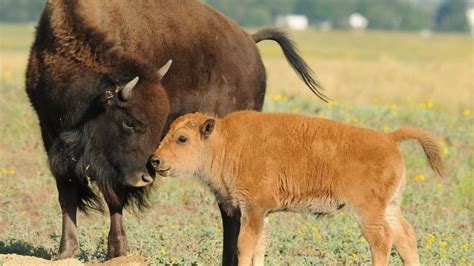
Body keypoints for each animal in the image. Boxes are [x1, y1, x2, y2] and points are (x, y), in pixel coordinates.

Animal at [25, 0, 326, 262]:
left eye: (158, 123)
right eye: (130, 122)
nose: (146, 176)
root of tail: (250, 41)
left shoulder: (113, 167)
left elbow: (114, 198)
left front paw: (116, 252)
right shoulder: (50, 135)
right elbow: (67, 194)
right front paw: (66, 252)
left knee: (231, 208)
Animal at [151, 110, 444, 266]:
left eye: (182, 138)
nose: (155, 161)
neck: (227, 143)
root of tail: (389, 139)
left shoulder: (253, 209)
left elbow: (244, 245)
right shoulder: (259, 214)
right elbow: (259, 246)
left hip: (368, 211)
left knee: (382, 240)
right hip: (390, 207)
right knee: (405, 237)